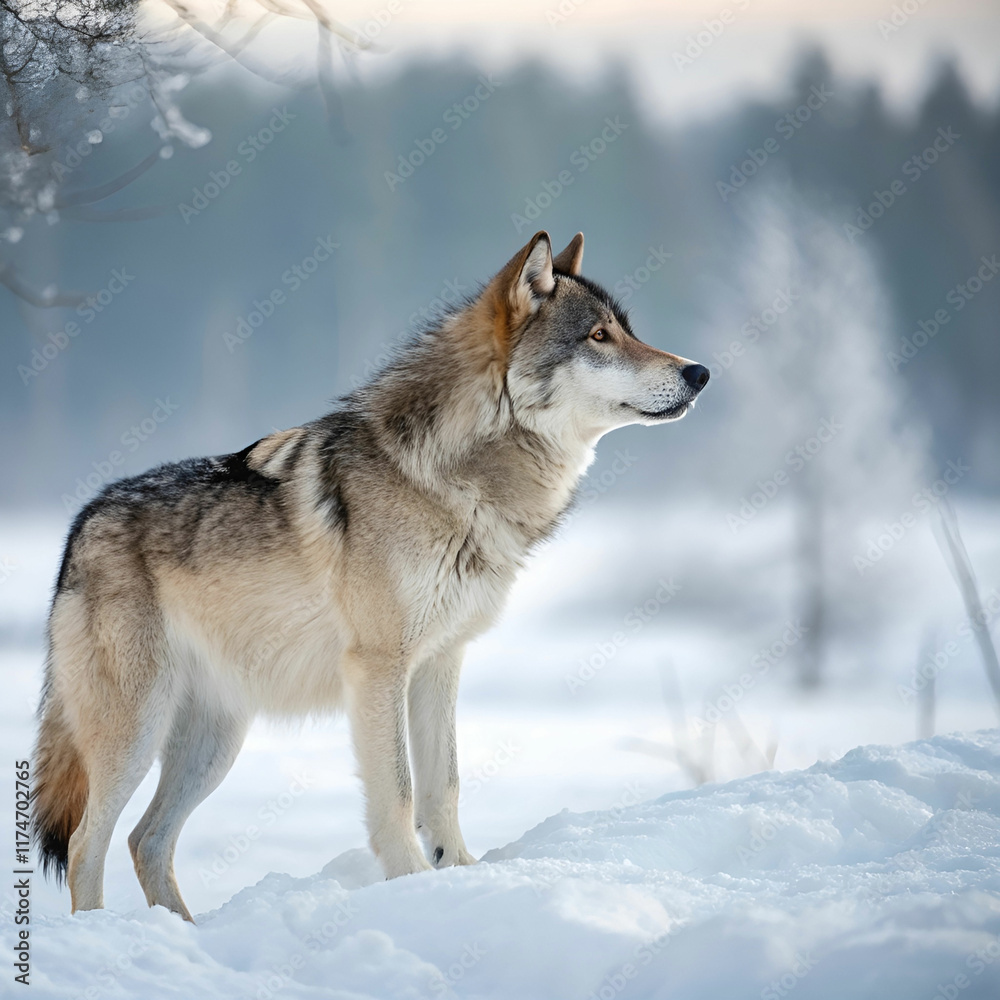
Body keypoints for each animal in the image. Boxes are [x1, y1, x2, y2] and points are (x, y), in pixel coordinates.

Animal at [33, 231, 709, 921]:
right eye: (599, 336)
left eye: (628, 330)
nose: (700, 372)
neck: (452, 478)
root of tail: (79, 526)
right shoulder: (379, 668)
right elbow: (400, 793)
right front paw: (413, 883)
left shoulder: (440, 663)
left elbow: (445, 786)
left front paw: (461, 875)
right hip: (136, 733)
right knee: (88, 843)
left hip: (214, 743)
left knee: (146, 840)